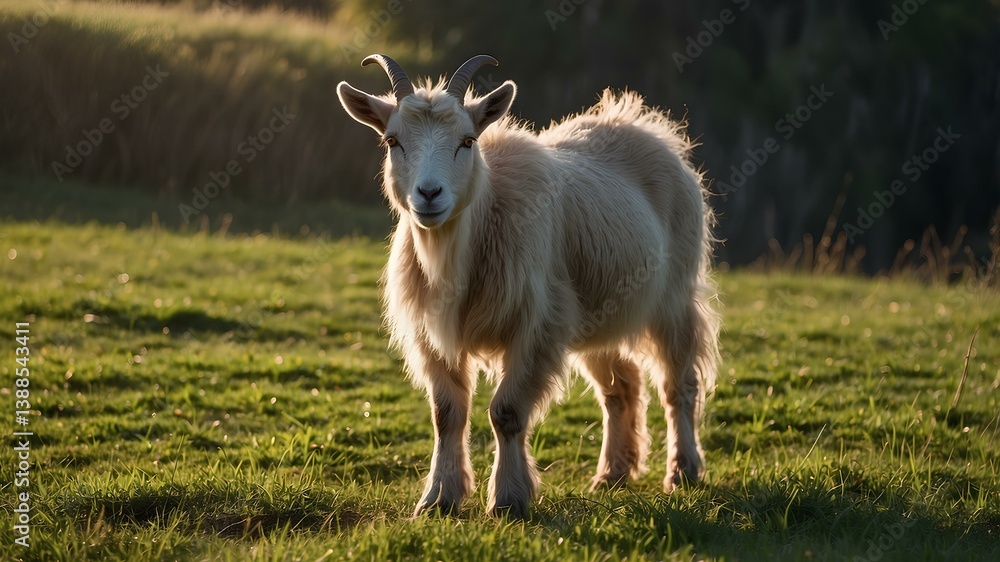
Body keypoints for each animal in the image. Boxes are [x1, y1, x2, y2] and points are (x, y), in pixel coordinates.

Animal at [337, 54, 721, 518]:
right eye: (392, 140)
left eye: (467, 141)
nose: (429, 194)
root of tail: (649, 130)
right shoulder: (434, 336)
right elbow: (446, 414)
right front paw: (438, 499)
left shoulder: (535, 326)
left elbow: (506, 412)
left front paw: (508, 499)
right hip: (597, 309)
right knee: (621, 387)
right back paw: (612, 474)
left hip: (673, 297)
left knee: (678, 383)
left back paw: (683, 471)